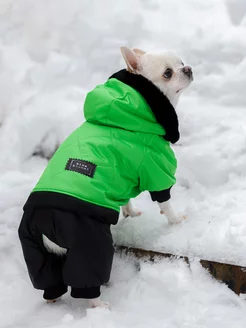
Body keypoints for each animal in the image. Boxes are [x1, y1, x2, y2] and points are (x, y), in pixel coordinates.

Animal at [18, 46, 192, 310]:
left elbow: (126, 198)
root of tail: (46, 224)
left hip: (34, 247)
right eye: (168, 73)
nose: (188, 68)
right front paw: (176, 219)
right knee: (87, 278)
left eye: (181, 62)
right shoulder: (154, 167)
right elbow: (165, 200)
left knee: (47, 277)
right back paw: (99, 305)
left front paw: (130, 213)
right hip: (90, 240)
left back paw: (52, 297)